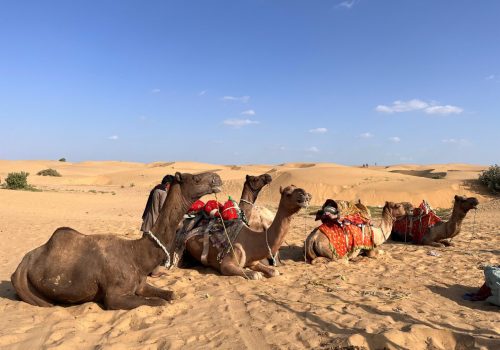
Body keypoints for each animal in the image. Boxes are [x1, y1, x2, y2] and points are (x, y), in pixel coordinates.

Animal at [11, 172, 223, 308]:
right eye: (196, 178)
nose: (217, 178)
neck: (137, 254)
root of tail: (20, 266)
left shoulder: (140, 284)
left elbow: (170, 294)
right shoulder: (115, 296)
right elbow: (158, 302)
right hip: (31, 292)